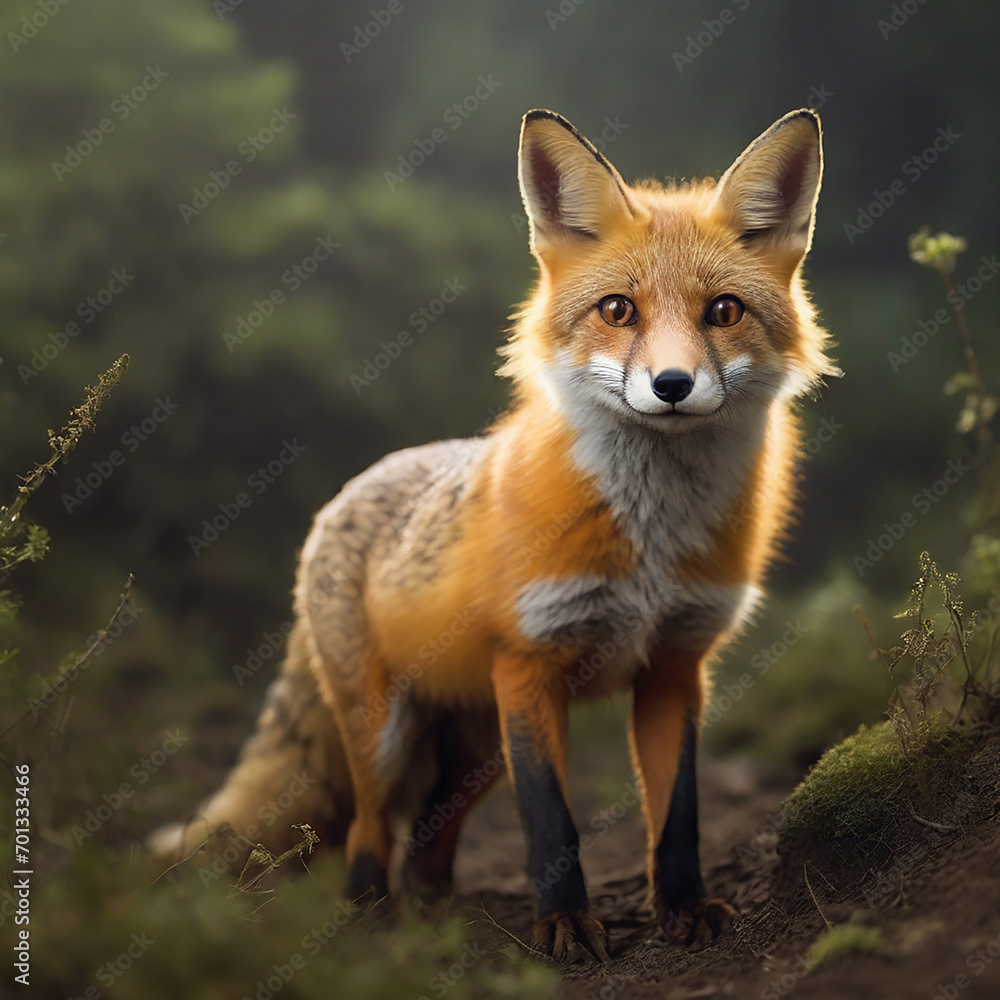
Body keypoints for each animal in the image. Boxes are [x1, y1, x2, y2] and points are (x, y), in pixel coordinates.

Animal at [151, 107, 835, 962]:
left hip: (479, 750)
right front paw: (566, 925)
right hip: (387, 731)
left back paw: (443, 916)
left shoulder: (676, 666)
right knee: (372, 828)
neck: (651, 539)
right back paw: (372, 920)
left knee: (429, 836)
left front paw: (684, 908)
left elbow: (677, 815)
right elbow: (553, 826)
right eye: (618, 310)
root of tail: (344, 495)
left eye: (724, 312)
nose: (672, 386)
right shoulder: (530, 666)